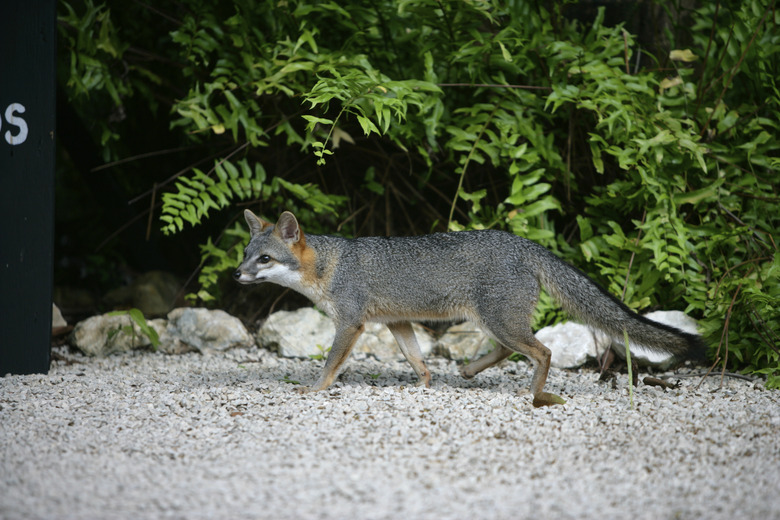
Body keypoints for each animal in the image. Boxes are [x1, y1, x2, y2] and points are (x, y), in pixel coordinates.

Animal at [235, 210, 704, 406]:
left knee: (543, 351)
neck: (331, 265)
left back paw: (532, 393)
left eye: (265, 259)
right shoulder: (396, 322)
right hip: (497, 323)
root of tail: (525, 242)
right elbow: (417, 358)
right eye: (245, 254)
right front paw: (423, 385)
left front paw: (315, 389)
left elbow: (331, 363)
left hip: (498, 321)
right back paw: (468, 371)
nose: (236, 275)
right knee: (509, 351)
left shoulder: (351, 325)